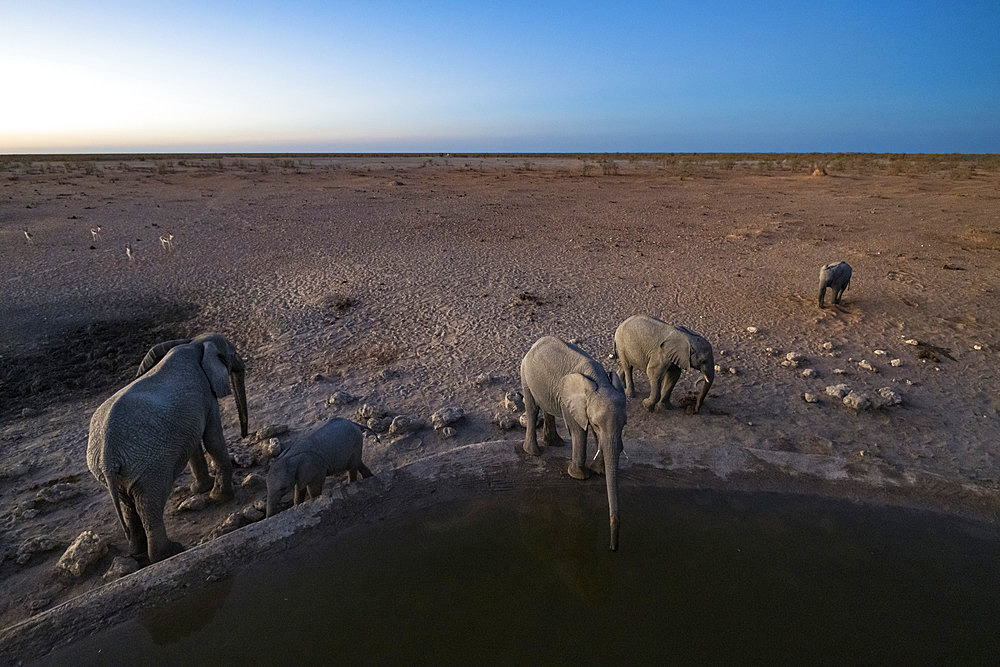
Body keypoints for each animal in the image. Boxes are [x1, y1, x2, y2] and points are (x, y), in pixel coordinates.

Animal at [88, 334, 250, 564]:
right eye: (233, 352)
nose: (245, 435)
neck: (195, 344)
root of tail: (106, 455)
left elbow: (195, 445)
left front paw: (201, 490)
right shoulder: (205, 392)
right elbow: (212, 440)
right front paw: (220, 498)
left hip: (115, 473)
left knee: (129, 505)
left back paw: (138, 554)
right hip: (148, 463)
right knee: (150, 504)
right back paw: (169, 552)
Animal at [524, 336, 624, 552]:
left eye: (625, 424)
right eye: (596, 423)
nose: (613, 548)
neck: (600, 381)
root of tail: (537, 342)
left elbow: (599, 437)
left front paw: (599, 472)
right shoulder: (571, 402)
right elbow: (579, 432)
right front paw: (580, 476)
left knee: (547, 409)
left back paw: (555, 443)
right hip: (525, 373)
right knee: (532, 407)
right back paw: (534, 453)